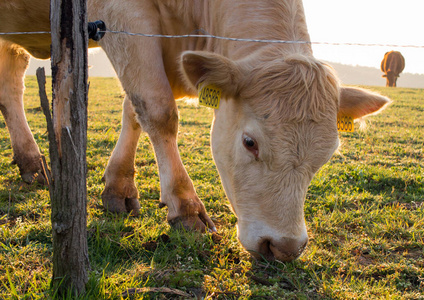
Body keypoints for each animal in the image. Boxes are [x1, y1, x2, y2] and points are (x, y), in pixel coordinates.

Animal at [0, 1, 390, 262]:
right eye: (250, 142)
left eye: (326, 157)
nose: (284, 246)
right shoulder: (122, 16)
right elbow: (156, 109)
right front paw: (185, 207)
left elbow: (133, 109)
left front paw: (118, 186)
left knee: (11, 84)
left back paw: (32, 161)